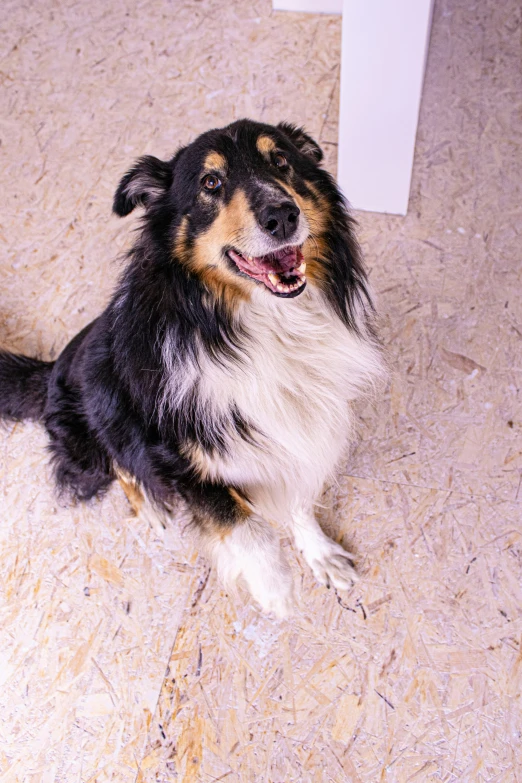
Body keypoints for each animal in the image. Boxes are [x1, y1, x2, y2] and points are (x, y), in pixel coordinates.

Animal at [0, 119, 382, 616]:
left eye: (281, 160)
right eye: (211, 183)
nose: (282, 216)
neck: (248, 323)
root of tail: (47, 371)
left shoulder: (297, 434)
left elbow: (297, 499)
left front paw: (319, 555)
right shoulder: (177, 456)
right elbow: (241, 523)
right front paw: (274, 588)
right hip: (94, 426)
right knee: (121, 466)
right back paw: (152, 509)